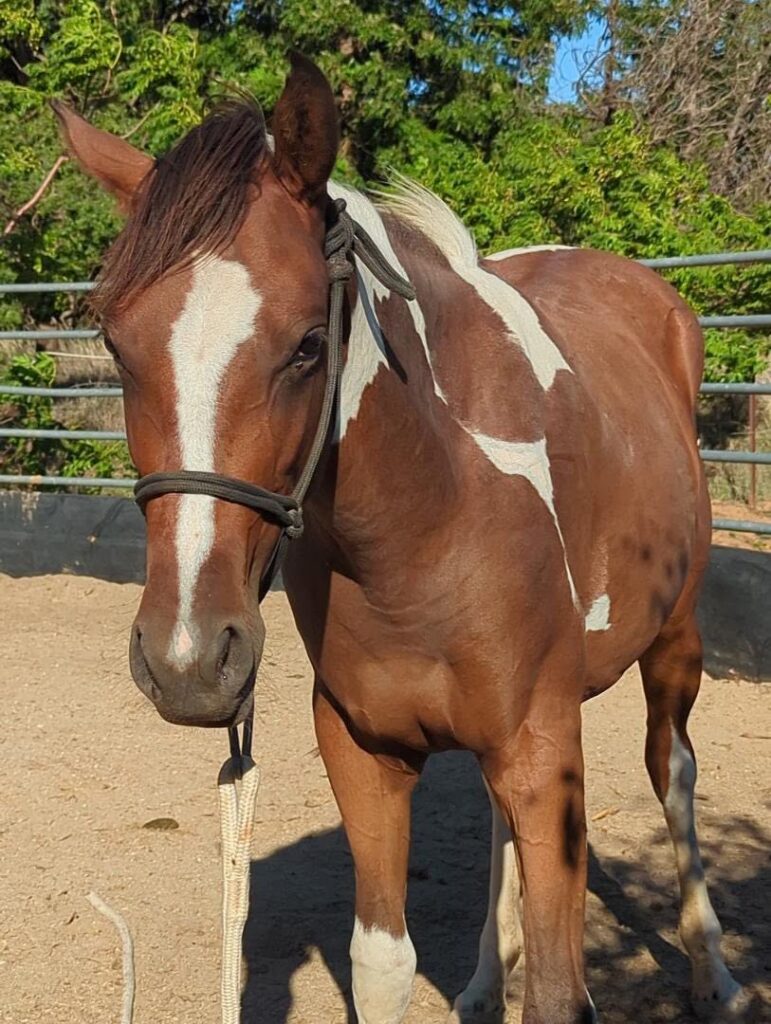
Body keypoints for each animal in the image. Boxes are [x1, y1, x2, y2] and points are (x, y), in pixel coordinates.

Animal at [54, 54, 743, 1024]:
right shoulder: (367, 752)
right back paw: (486, 981)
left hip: (673, 642)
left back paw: (711, 971)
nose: (187, 659)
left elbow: (559, 991)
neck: (431, 518)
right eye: (116, 346)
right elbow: (380, 963)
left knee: (672, 769)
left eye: (309, 345)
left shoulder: (546, 758)